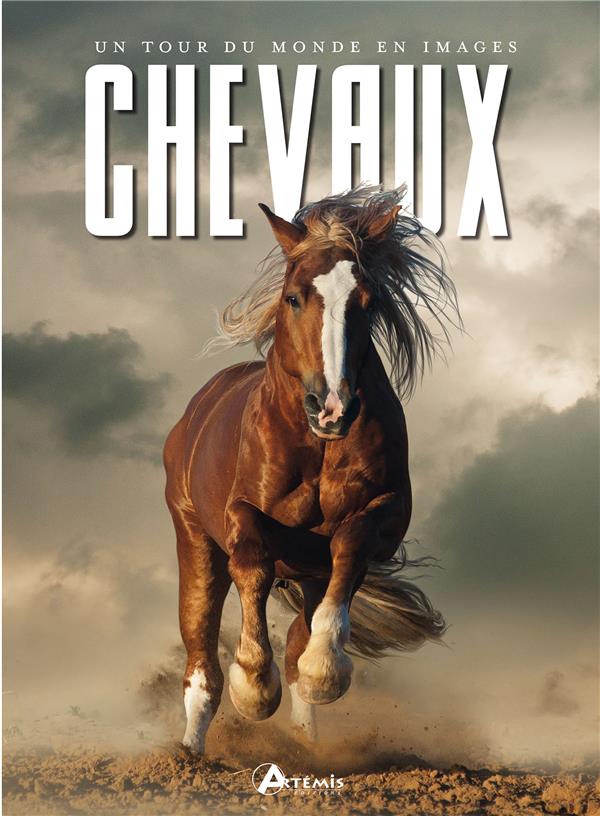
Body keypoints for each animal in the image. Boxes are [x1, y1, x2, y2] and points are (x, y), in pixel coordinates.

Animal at [163, 185, 458, 754]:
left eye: (368, 301)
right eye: (294, 297)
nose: (332, 407)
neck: (316, 447)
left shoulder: (383, 517)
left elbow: (350, 545)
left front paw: (326, 670)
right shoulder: (240, 515)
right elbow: (252, 561)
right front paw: (255, 687)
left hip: (308, 573)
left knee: (301, 638)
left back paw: (304, 740)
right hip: (194, 541)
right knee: (200, 656)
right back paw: (190, 753)